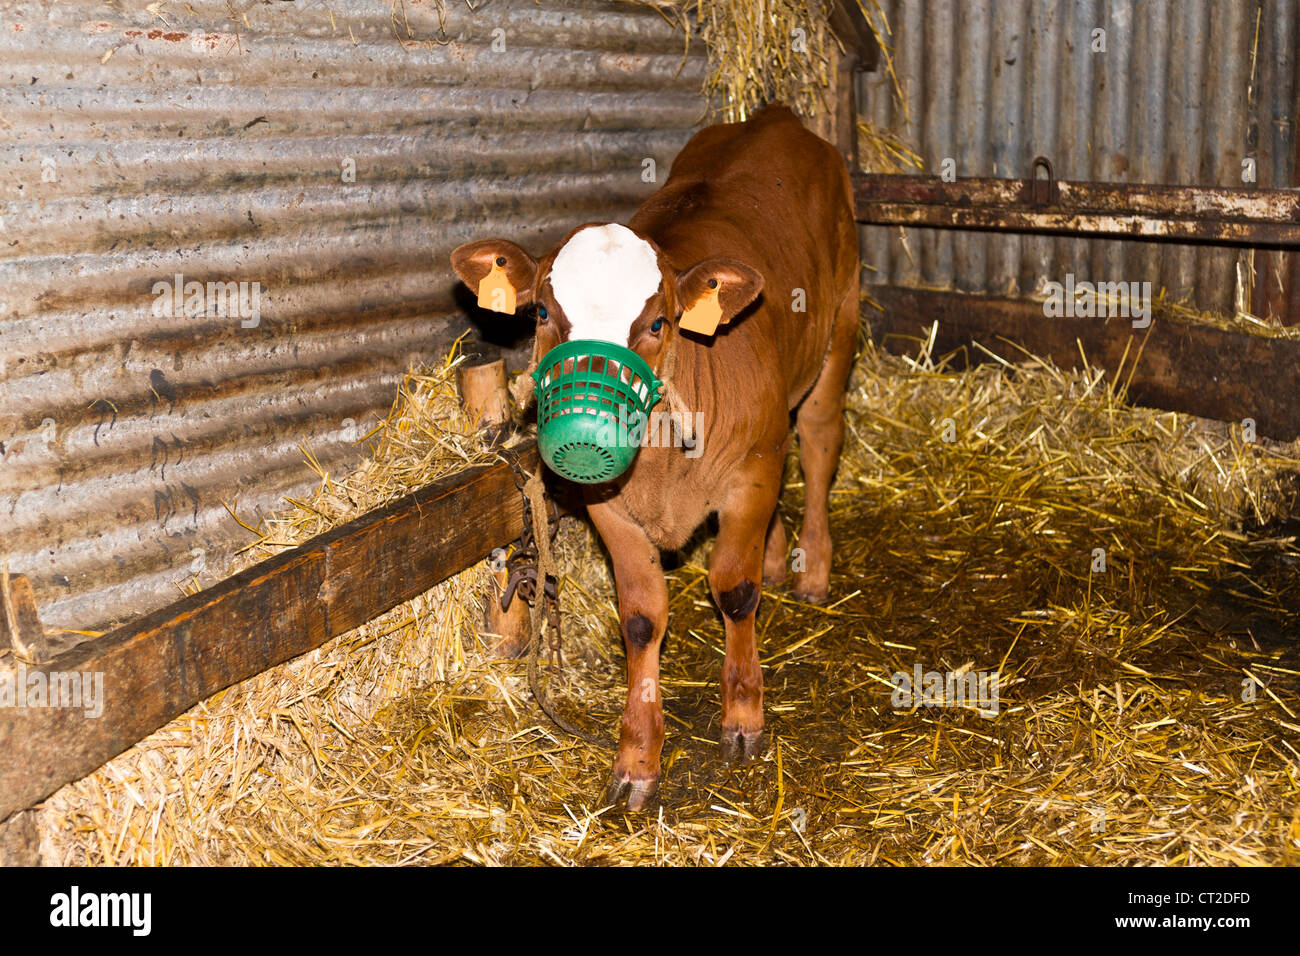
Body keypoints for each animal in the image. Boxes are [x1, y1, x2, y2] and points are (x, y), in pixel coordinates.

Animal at [451, 104, 859, 809]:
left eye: (659, 322)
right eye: (541, 312)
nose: (590, 416)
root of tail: (775, 116)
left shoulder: (749, 475)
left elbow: (736, 591)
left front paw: (743, 719)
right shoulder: (610, 506)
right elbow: (642, 619)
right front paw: (637, 761)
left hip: (842, 324)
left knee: (817, 439)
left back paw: (810, 567)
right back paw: (780, 554)